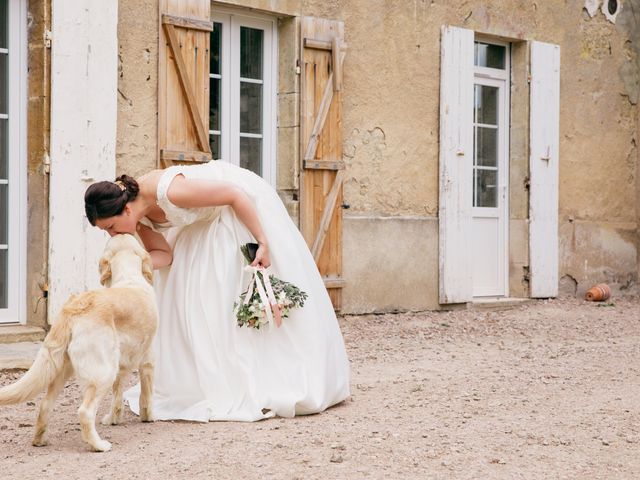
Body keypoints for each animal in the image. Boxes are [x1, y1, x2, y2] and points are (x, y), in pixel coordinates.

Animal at [0, 234, 158, 452]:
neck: (128, 278)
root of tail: (72, 309)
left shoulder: (121, 365)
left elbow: (118, 395)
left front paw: (113, 419)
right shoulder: (148, 359)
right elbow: (146, 394)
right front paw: (148, 416)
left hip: (63, 369)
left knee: (45, 405)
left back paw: (40, 440)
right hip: (102, 373)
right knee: (85, 411)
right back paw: (99, 445)